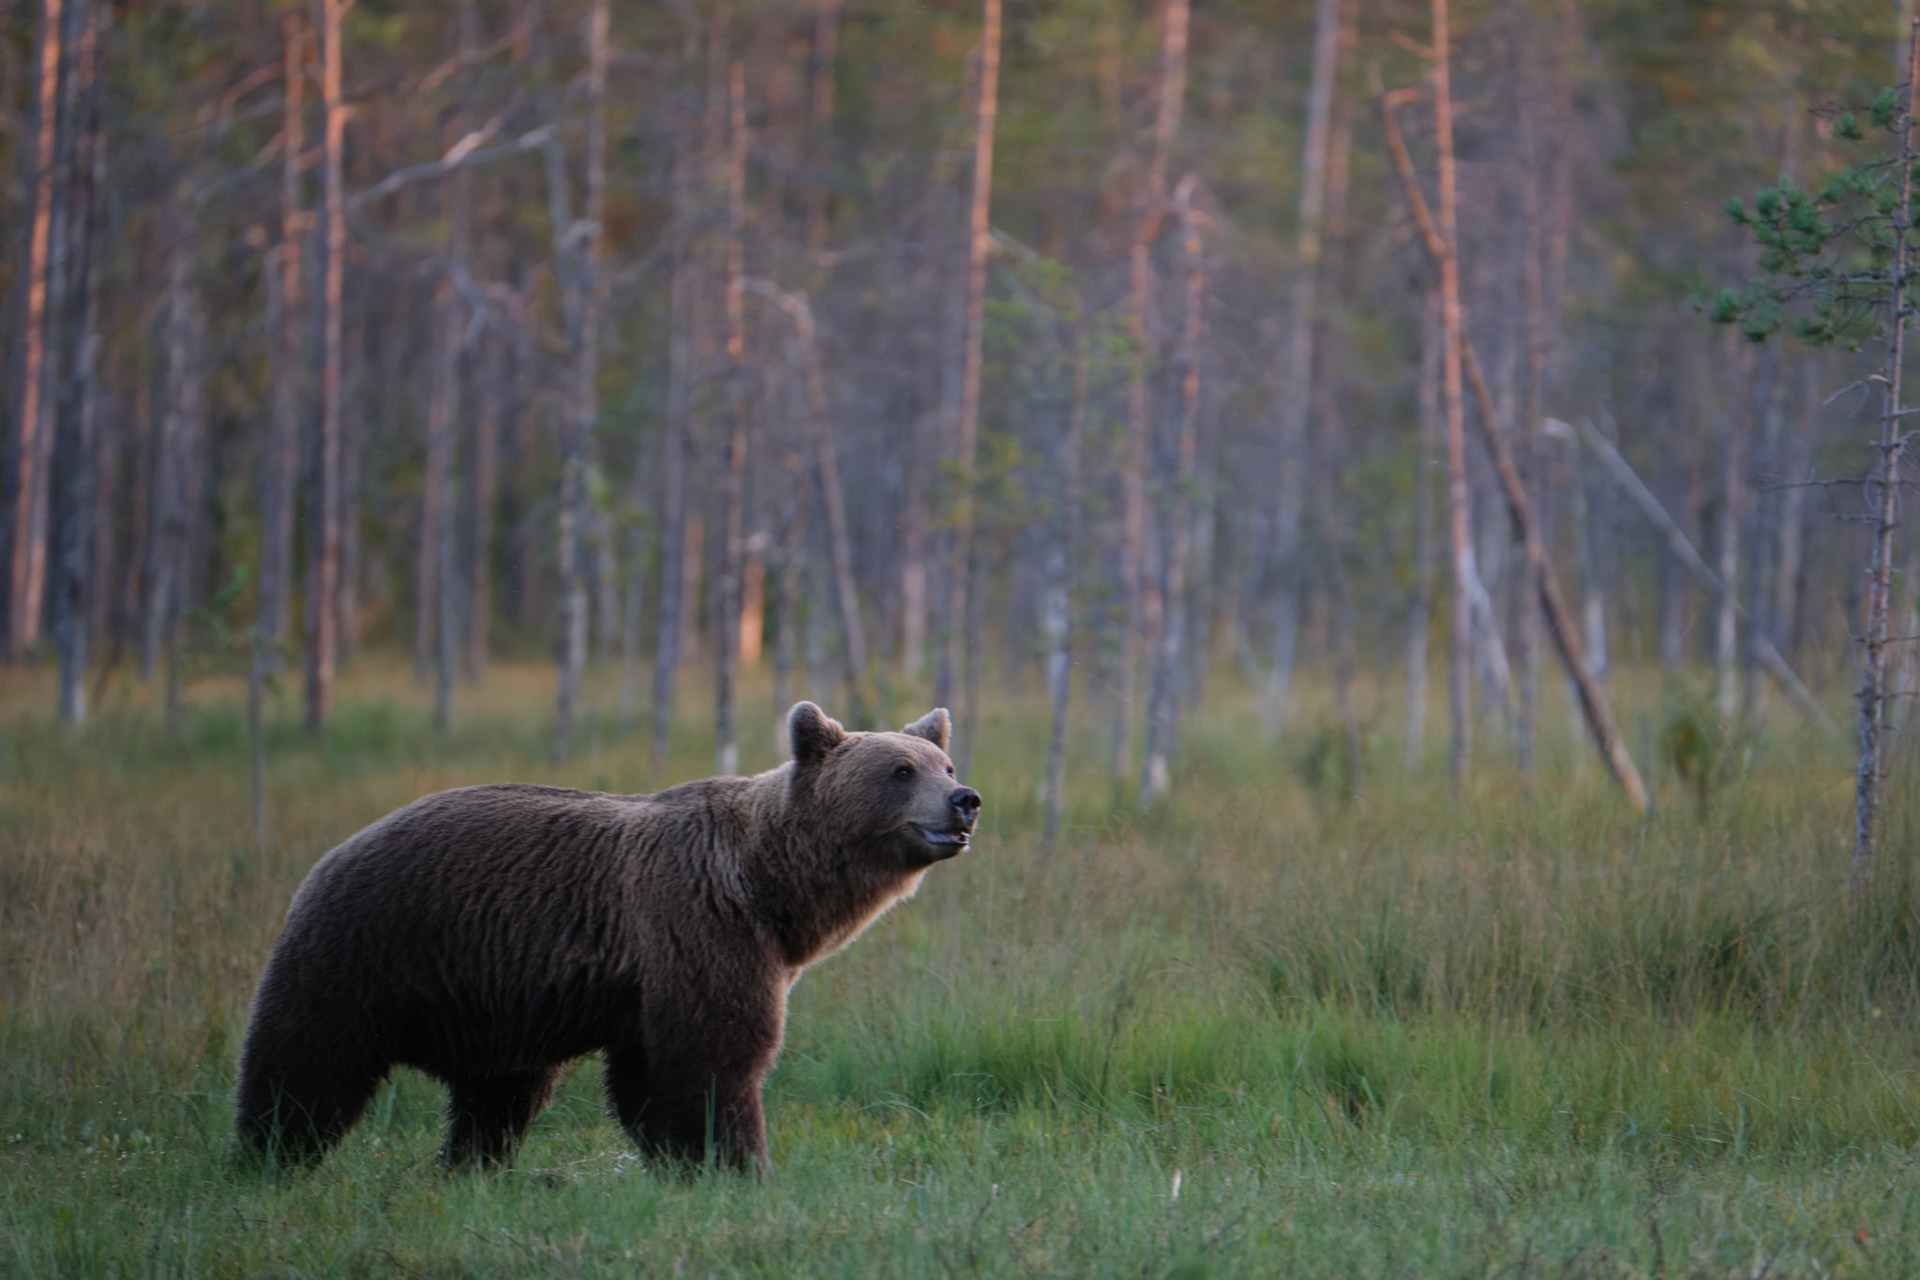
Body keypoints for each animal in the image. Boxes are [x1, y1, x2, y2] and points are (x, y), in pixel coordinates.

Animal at [233, 702, 979, 1174]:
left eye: (941, 763)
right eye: (900, 771)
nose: (965, 800)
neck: (769, 889)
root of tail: (332, 851)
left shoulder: (656, 974)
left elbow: (649, 1075)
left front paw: (686, 1162)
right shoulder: (698, 924)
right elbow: (716, 1057)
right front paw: (739, 1162)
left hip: (490, 1002)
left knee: (499, 1095)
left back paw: (472, 1164)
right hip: (368, 947)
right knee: (306, 1061)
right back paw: (267, 1156)